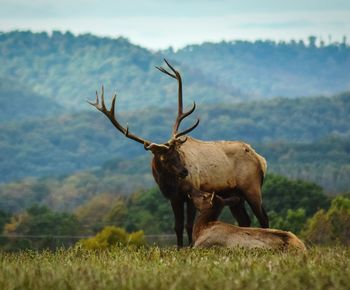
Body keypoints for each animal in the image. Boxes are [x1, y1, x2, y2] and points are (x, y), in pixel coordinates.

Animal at [89, 58, 270, 247]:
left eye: (178, 153)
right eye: (164, 157)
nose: (185, 172)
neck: (170, 183)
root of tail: (261, 159)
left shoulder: (191, 193)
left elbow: (188, 225)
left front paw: (190, 246)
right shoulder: (173, 198)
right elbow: (177, 226)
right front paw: (179, 247)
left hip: (251, 186)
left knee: (263, 218)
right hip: (234, 195)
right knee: (245, 220)